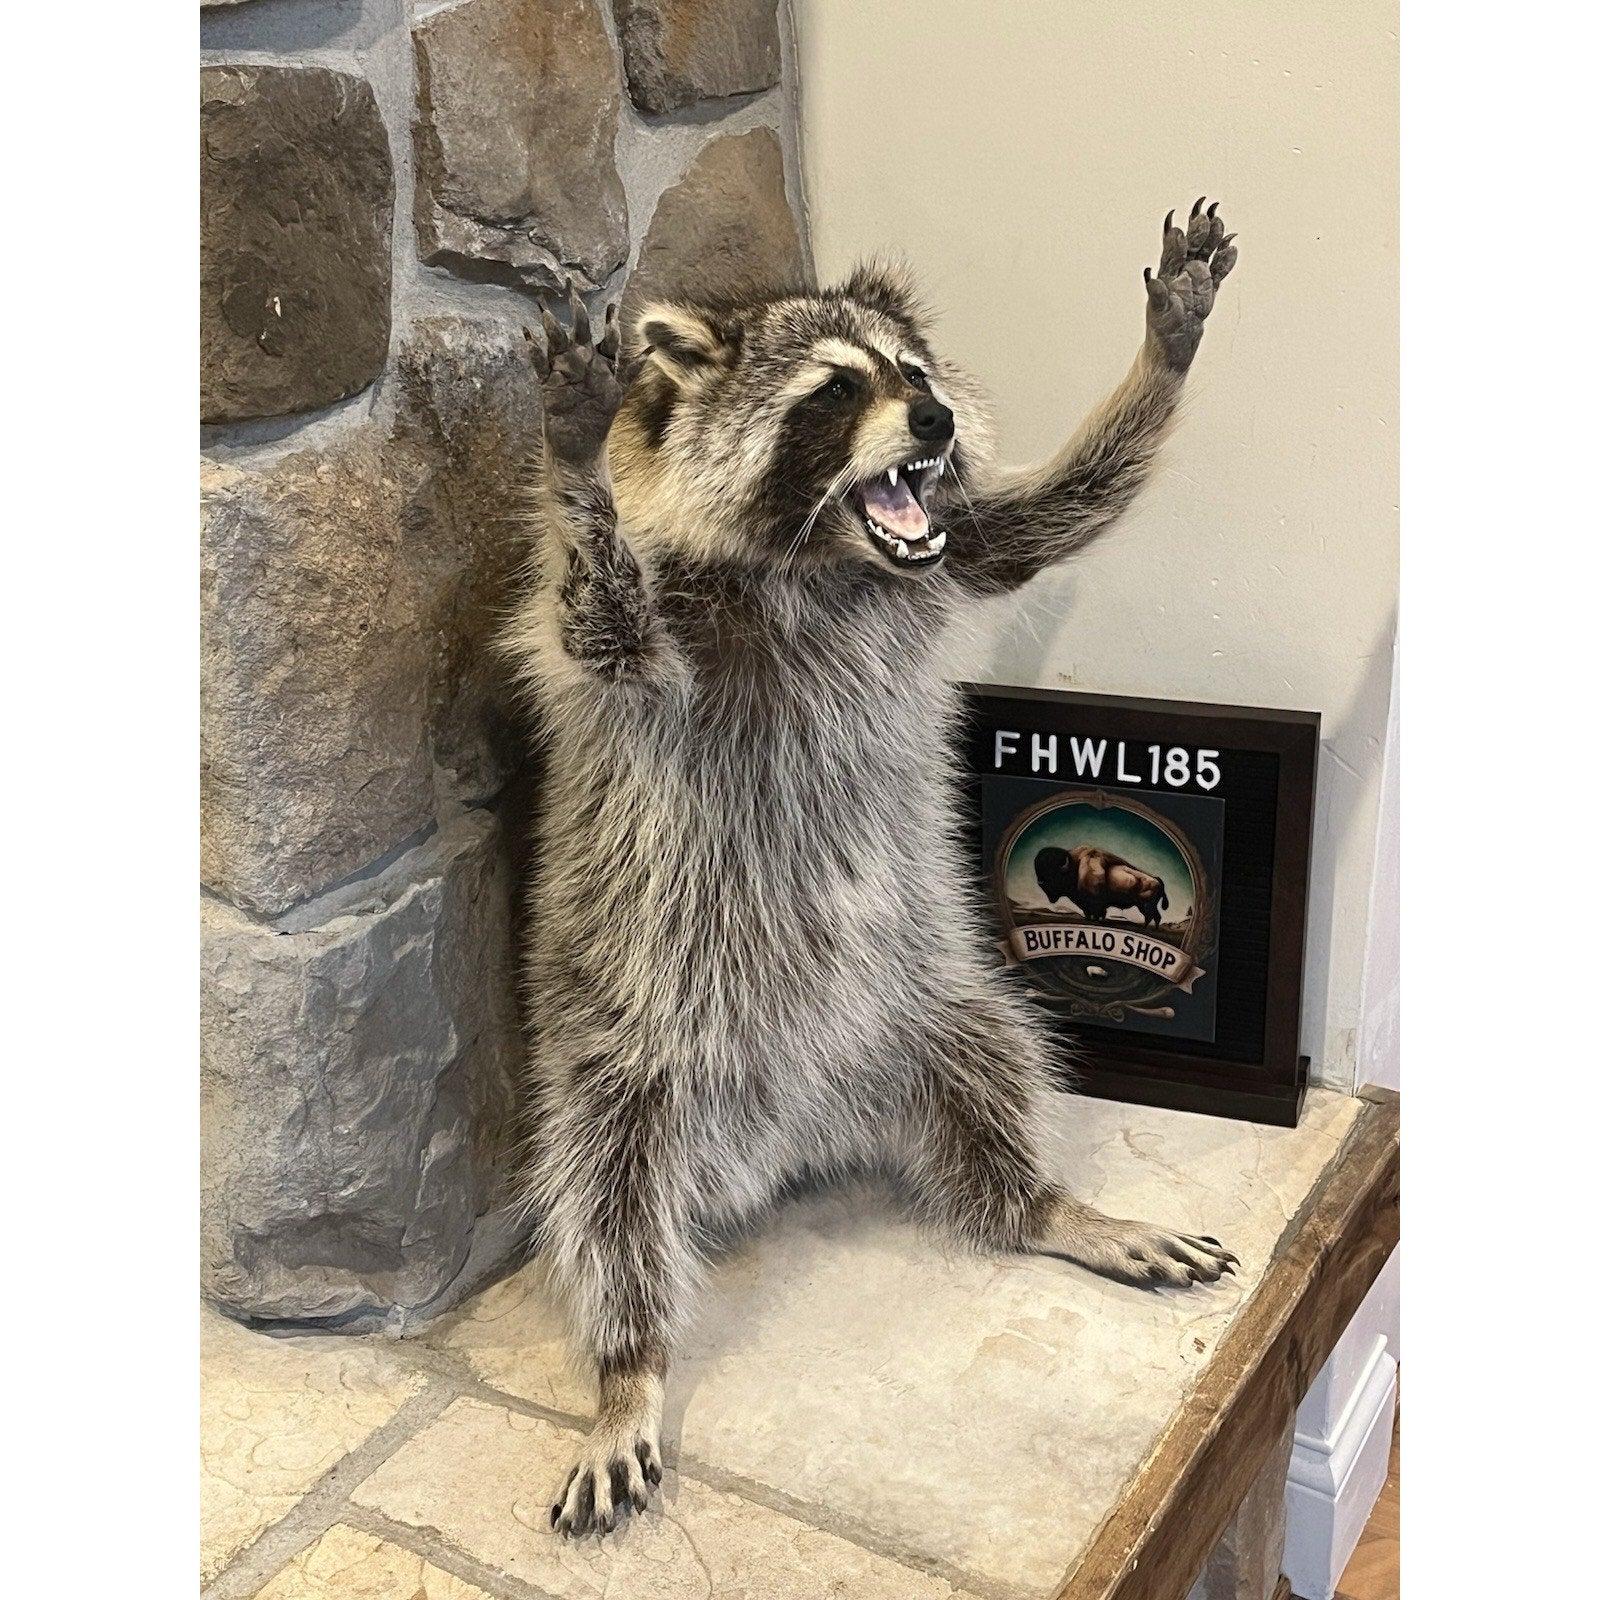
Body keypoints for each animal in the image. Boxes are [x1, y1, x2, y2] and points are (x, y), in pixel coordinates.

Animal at [504, 201, 1240, 1537]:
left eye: (912, 373)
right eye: (835, 391)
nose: (936, 420)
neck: (824, 561)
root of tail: (791, 1131)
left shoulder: (952, 548)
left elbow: (1052, 516)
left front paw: (1165, 353)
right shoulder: (650, 633)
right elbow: (600, 617)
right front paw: (573, 456)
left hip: (937, 994)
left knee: (1001, 1059)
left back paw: (1045, 1204)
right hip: (617, 1052)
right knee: (606, 1202)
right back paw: (629, 1364)